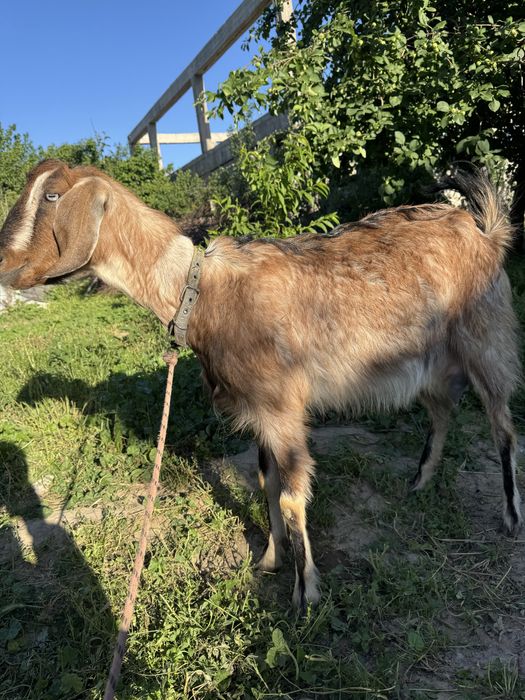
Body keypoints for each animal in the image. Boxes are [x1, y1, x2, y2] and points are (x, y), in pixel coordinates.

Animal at [0, 160, 521, 610]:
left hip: (485, 339)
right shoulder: (259, 411)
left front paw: (305, 592)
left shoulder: (281, 407)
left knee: (502, 427)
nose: (4, 265)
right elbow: (267, 484)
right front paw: (270, 559)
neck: (201, 292)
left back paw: (511, 516)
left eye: (52, 195)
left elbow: (290, 493)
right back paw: (419, 482)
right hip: (433, 364)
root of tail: (485, 232)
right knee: (442, 414)